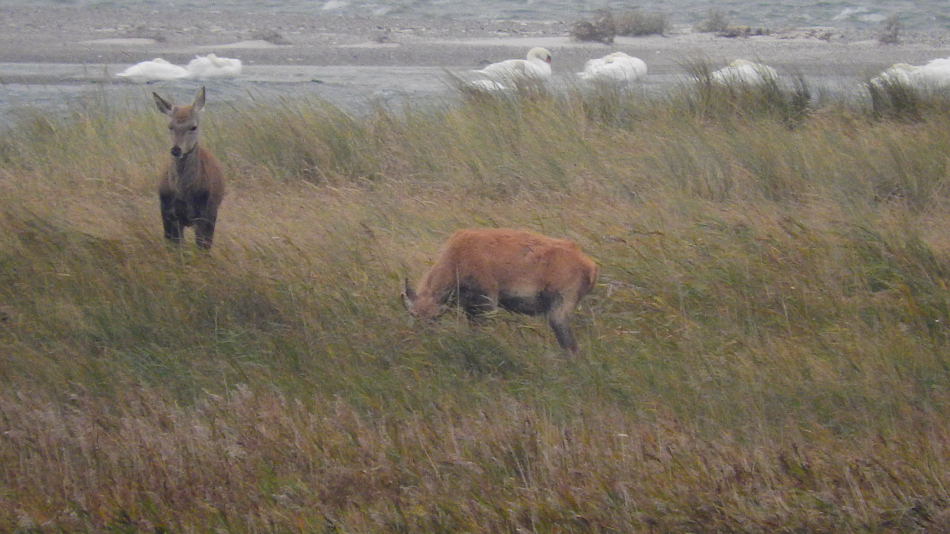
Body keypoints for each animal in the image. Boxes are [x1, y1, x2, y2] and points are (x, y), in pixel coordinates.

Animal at [153, 87, 226, 251]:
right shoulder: (167, 213)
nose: (176, 150)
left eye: (193, 126)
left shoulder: (204, 214)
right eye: (170, 126)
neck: (184, 193)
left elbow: (201, 247)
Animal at [404, 228, 600, 358]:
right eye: (413, 314)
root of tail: (589, 265)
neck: (460, 254)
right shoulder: (470, 308)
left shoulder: (488, 303)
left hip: (558, 314)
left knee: (571, 347)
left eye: (435, 318)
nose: (418, 341)